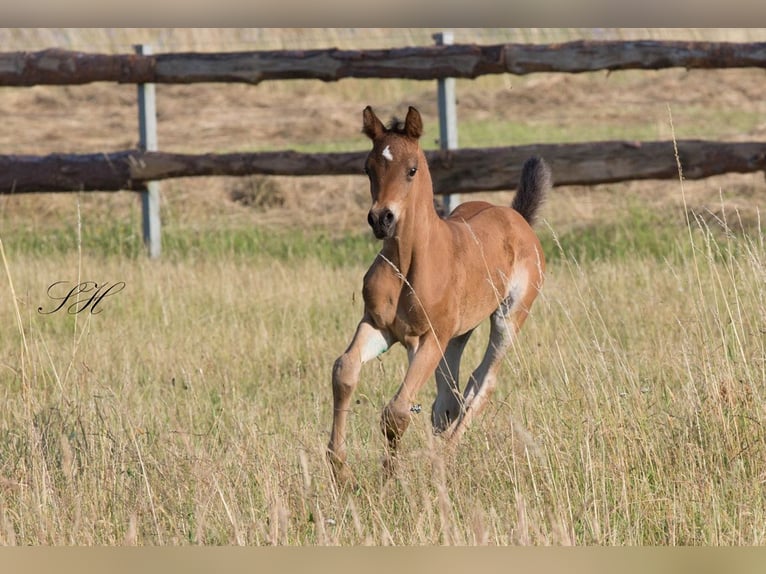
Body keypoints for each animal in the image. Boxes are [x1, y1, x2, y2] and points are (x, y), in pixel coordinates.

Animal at [330, 106, 552, 484]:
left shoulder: (431, 336)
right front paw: (339, 467)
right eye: (367, 168)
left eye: (412, 169)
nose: (381, 219)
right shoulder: (379, 326)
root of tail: (517, 218)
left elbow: (397, 410)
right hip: (458, 335)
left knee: (481, 384)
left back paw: (445, 458)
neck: (408, 263)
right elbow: (344, 371)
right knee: (449, 398)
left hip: (508, 317)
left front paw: (389, 476)